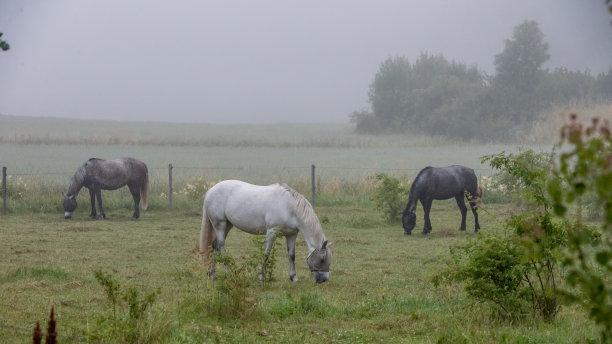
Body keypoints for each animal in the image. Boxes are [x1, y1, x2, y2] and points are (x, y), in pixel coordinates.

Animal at [200, 180, 334, 282]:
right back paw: (228, 274)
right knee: (221, 248)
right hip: (220, 225)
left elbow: (291, 256)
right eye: (322, 259)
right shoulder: (271, 232)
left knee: (214, 247)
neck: (289, 207)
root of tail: (210, 191)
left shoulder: (291, 234)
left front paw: (294, 278)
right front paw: (261, 278)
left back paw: (213, 274)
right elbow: (266, 254)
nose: (323, 280)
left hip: (227, 225)